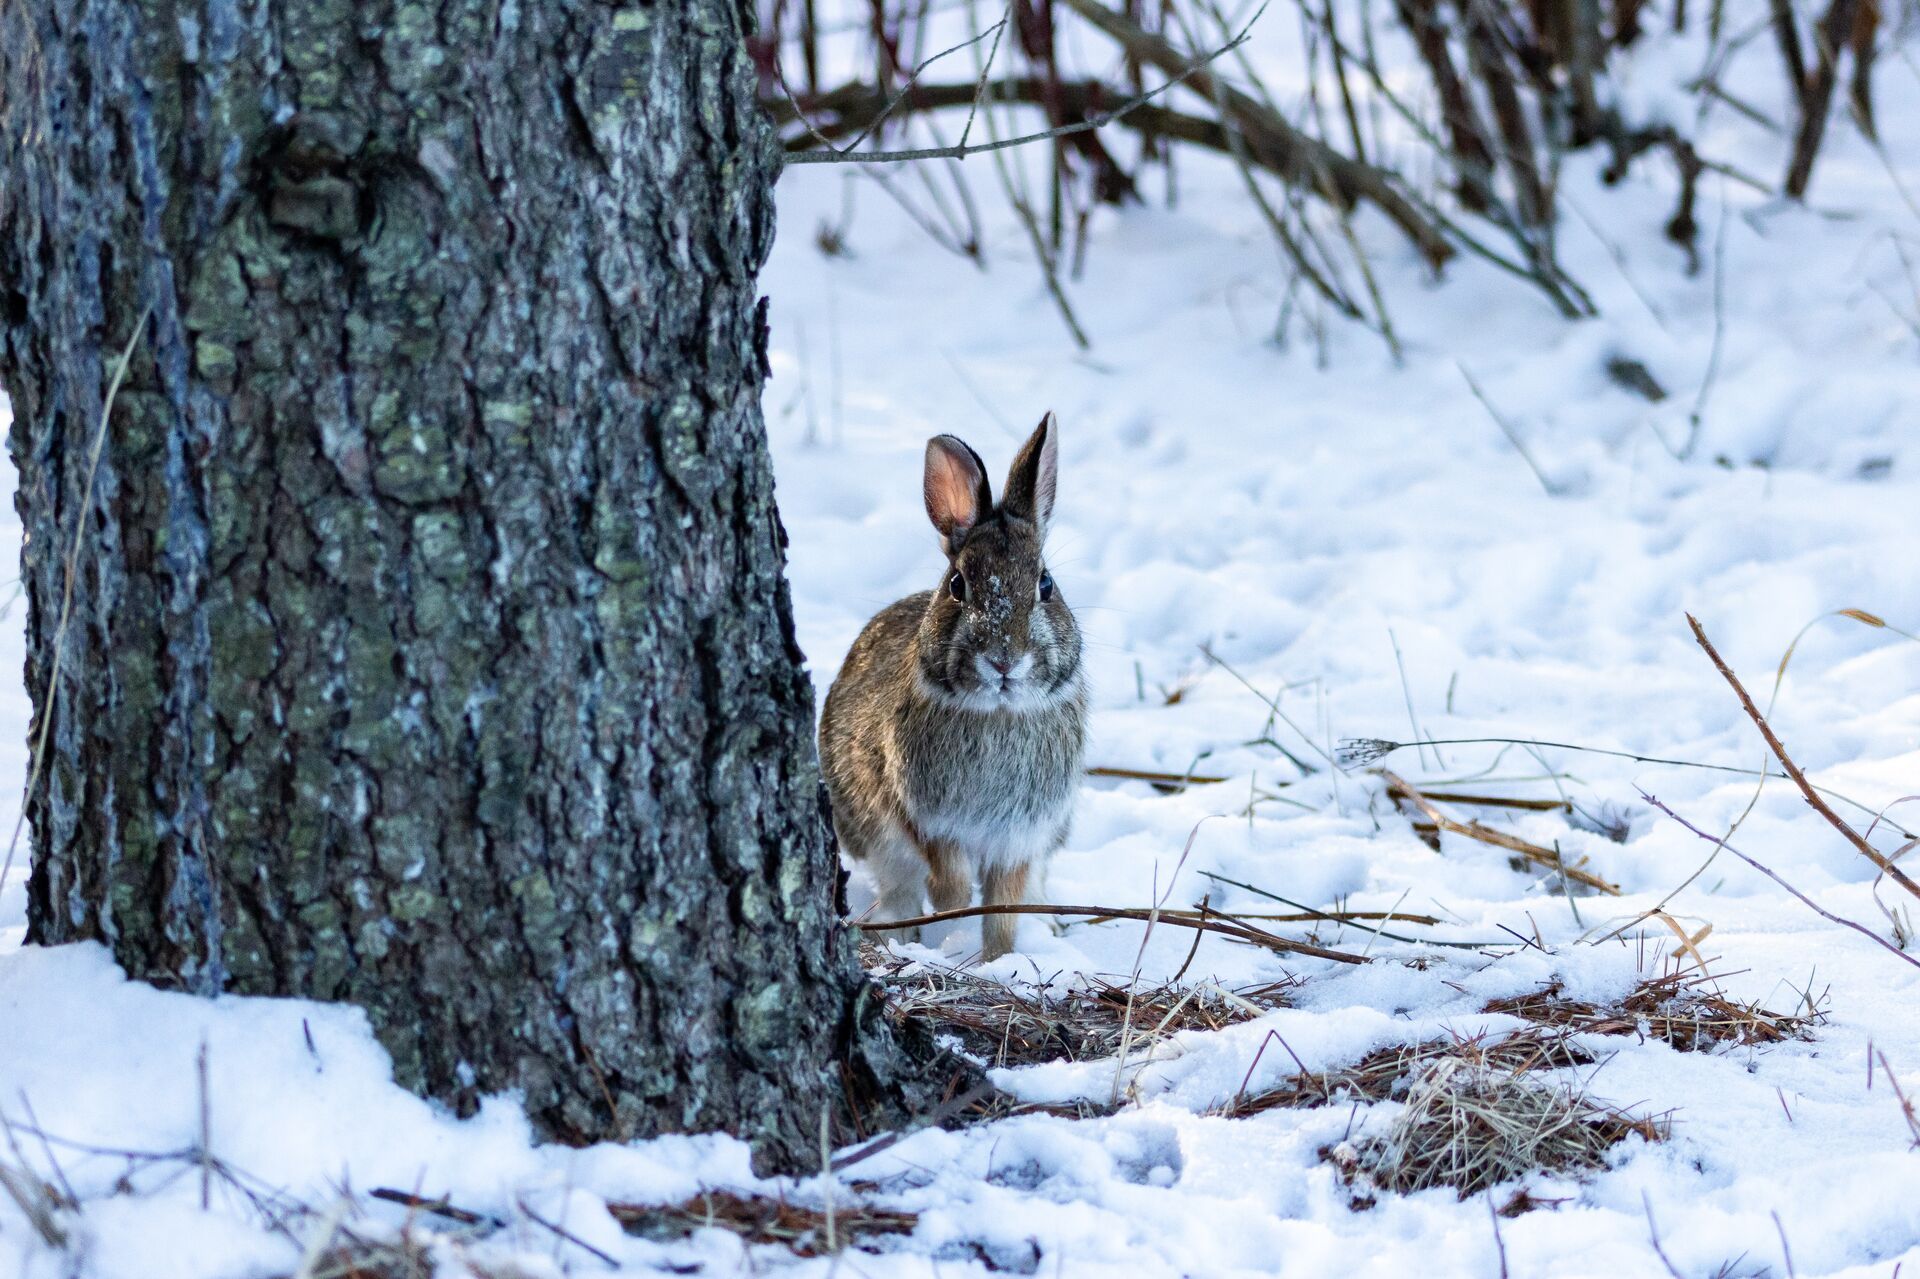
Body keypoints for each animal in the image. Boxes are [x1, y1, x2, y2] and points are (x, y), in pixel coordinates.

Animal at [819, 413, 1087, 963]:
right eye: (958, 585)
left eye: (1046, 585)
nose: (1004, 660)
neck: (997, 713)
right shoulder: (923, 816)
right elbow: (950, 882)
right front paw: (954, 921)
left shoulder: (1020, 837)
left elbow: (1004, 904)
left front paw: (999, 960)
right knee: (898, 889)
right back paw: (901, 937)